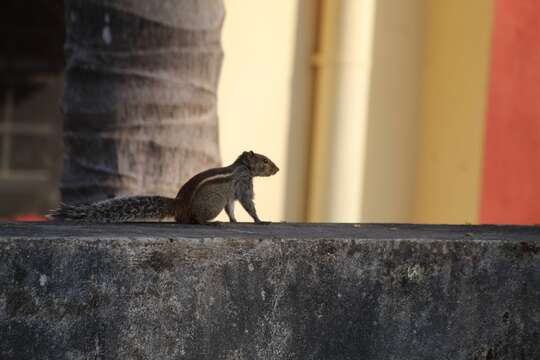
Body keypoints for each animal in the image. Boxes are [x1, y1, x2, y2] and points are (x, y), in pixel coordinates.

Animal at [47, 150, 278, 224]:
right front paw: (260, 220)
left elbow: (232, 208)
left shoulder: (231, 196)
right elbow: (248, 204)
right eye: (265, 161)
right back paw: (211, 222)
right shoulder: (244, 185)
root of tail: (180, 205)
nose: (277, 169)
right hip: (212, 205)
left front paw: (234, 220)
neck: (242, 166)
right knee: (195, 220)